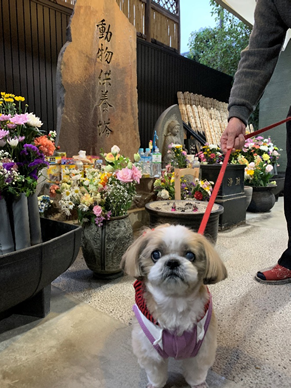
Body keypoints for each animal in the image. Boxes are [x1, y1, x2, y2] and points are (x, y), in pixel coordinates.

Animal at [121, 224, 228, 388]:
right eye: (155, 254)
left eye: (190, 255)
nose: (172, 262)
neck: (174, 302)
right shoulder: (151, 352)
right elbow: (156, 374)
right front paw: (155, 385)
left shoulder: (202, 349)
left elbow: (196, 373)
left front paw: (199, 384)